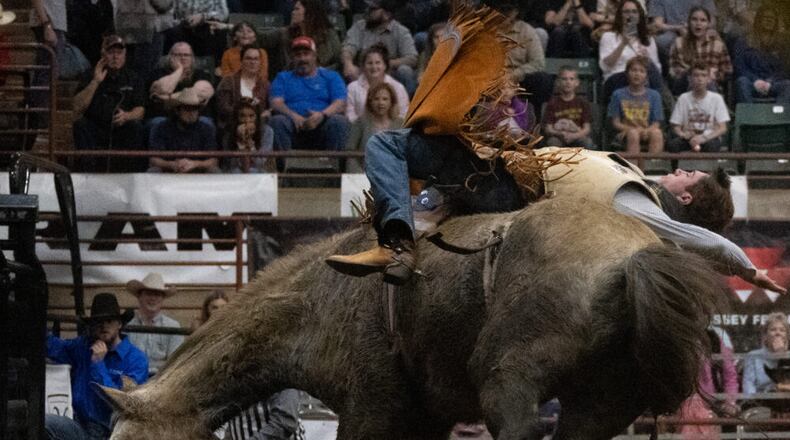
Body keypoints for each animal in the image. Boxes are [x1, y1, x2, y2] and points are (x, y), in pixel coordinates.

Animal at [103, 195, 720, 440]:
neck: (315, 303)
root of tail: (633, 256)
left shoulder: (372, 405)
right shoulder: (425, 413)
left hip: (509, 372)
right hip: (604, 397)